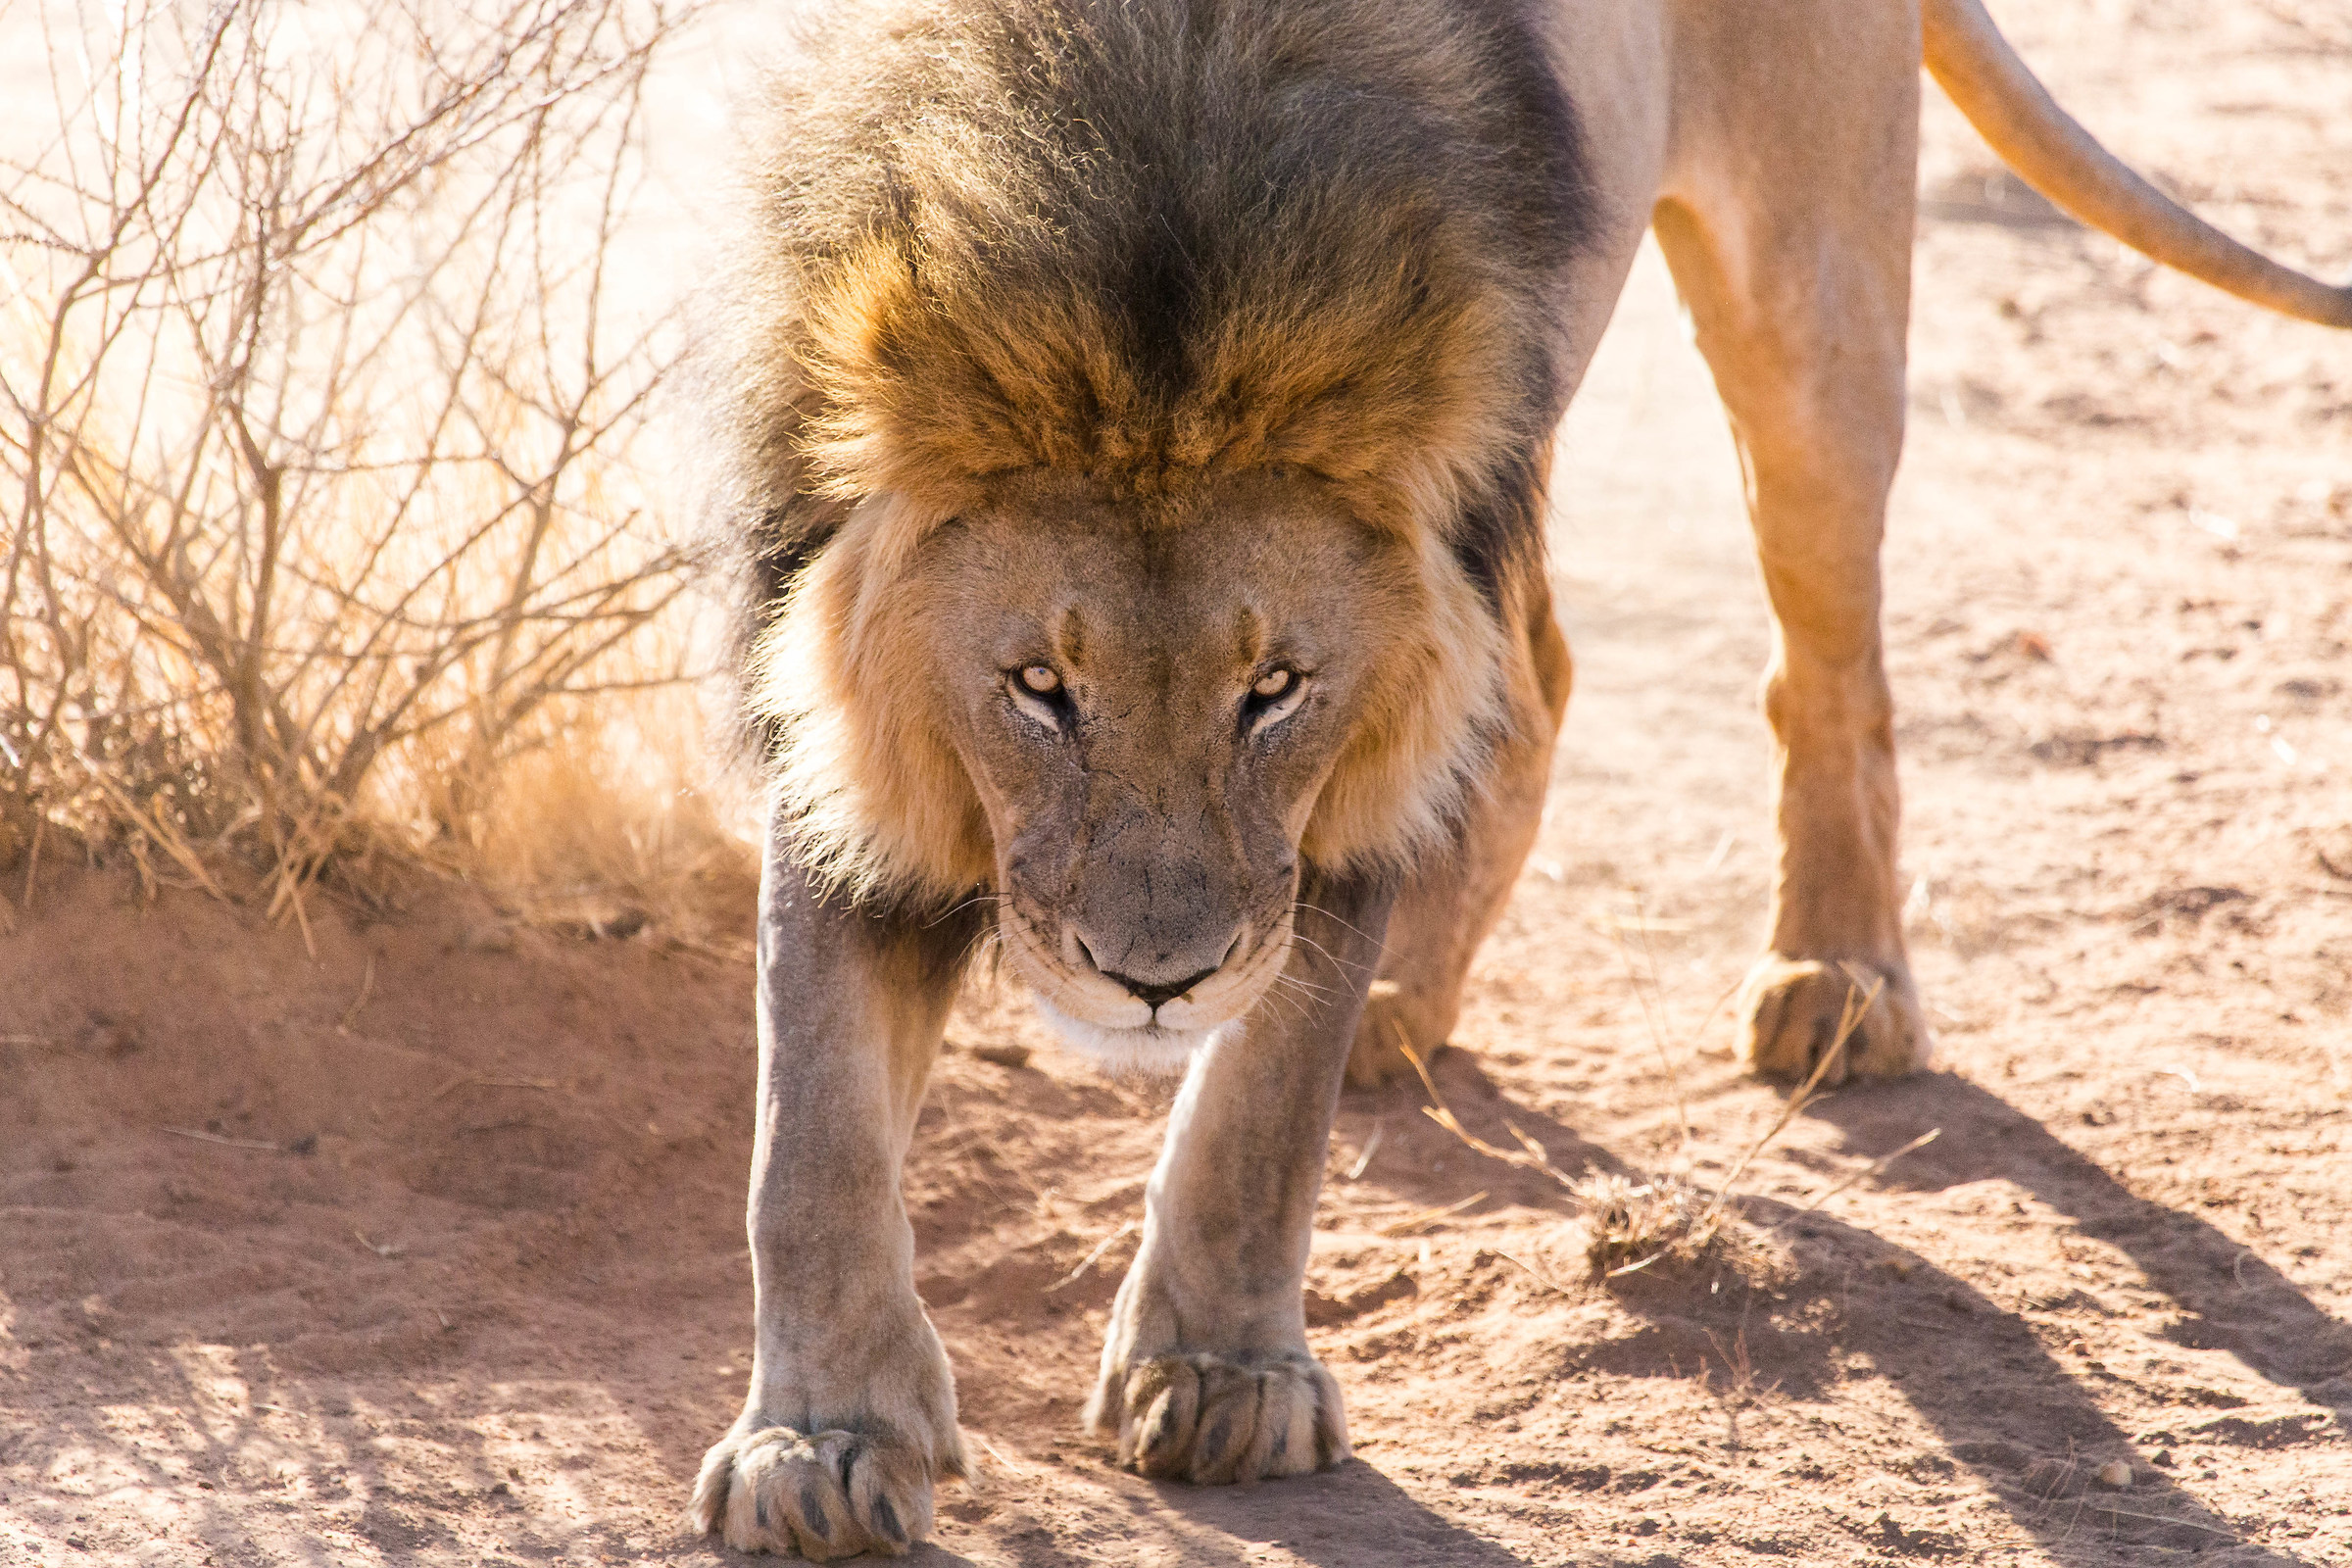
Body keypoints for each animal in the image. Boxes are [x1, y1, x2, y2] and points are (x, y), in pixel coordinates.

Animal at [685, 0, 2347, 1554]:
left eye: (1273, 693)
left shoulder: (1335, 786)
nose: (1157, 985)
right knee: (1533, 679)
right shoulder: (839, 758)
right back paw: (1413, 1003)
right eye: (1042, 689)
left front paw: (1226, 1379)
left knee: (1829, 668)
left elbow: (1257, 1116)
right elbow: (809, 1134)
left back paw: (1840, 983)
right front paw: (820, 1445)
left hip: (1808, 294)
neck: (1154, 201)